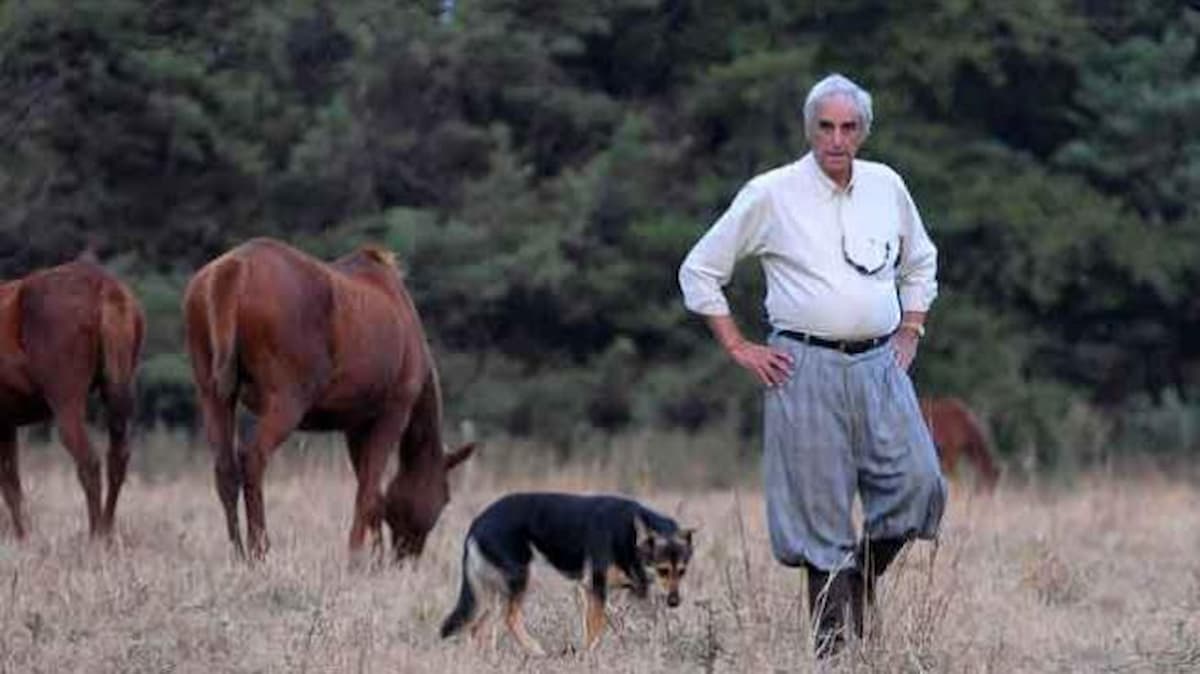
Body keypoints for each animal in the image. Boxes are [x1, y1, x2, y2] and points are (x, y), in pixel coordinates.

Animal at [182, 238, 472, 558]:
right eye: (445, 497)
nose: (407, 556)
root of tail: (230, 275)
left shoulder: (355, 423)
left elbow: (373, 492)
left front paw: (374, 556)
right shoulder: (394, 409)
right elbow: (368, 492)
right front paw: (358, 558)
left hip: (211, 391)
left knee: (224, 467)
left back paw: (239, 554)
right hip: (289, 396)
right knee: (252, 457)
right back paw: (260, 550)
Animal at [441, 491, 696, 652]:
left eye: (682, 572)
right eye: (663, 571)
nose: (674, 602)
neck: (627, 535)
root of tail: (477, 522)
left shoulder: (594, 590)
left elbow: (604, 623)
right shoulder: (595, 587)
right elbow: (597, 626)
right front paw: (590, 655)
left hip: (492, 592)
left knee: (477, 627)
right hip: (522, 578)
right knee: (509, 618)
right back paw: (535, 650)